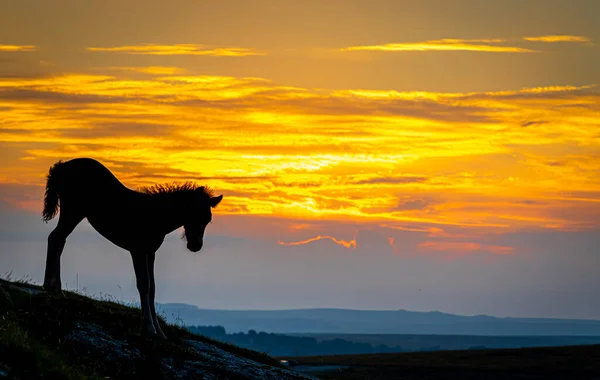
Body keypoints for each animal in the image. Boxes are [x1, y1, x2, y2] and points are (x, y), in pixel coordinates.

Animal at [41, 157, 223, 338]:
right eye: (192, 213)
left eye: (208, 219)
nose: (195, 245)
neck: (157, 216)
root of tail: (62, 166)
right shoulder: (138, 251)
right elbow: (144, 284)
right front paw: (149, 327)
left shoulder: (151, 253)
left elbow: (153, 287)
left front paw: (159, 331)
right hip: (73, 211)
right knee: (55, 238)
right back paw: (49, 286)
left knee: (59, 241)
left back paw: (56, 288)